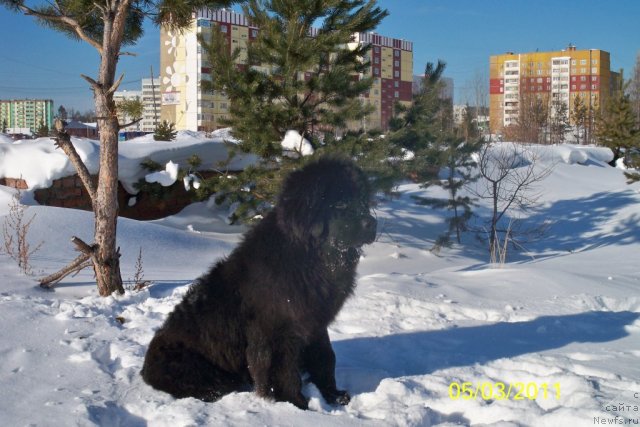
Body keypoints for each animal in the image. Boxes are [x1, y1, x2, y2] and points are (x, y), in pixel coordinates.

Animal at [141, 155, 376, 410]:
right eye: (340, 204)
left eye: (363, 201)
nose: (372, 223)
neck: (311, 258)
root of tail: (145, 369)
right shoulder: (277, 330)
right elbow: (284, 369)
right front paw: (295, 403)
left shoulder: (314, 322)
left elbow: (325, 357)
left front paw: (333, 395)